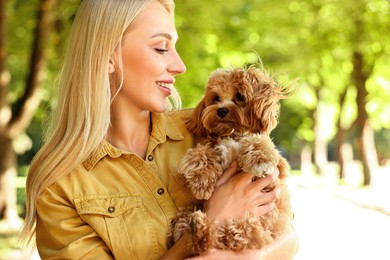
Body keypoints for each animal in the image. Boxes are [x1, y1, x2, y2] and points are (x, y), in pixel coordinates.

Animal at [169, 66, 294, 255]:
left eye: (240, 96)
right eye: (216, 98)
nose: (221, 110)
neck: (233, 133)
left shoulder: (277, 171)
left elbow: (261, 142)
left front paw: (259, 159)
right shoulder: (215, 147)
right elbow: (200, 152)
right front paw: (201, 181)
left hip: (255, 228)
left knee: (238, 234)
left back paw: (200, 230)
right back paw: (196, 229)